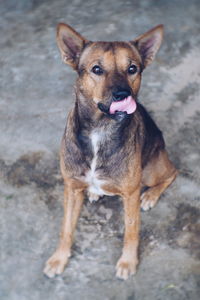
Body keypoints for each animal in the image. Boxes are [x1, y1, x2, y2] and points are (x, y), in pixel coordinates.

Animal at [43, 22, 177, 280]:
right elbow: (66, 228)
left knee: (173, 172)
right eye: (96, 69)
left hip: (151, 170)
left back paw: (150, 196)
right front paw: (59, 258)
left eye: (132, 68)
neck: (100, 130)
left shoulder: (130, 193)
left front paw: (127, 262)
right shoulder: (71, 187)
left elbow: (131, 231)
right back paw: (95, 192)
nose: (123, 95)